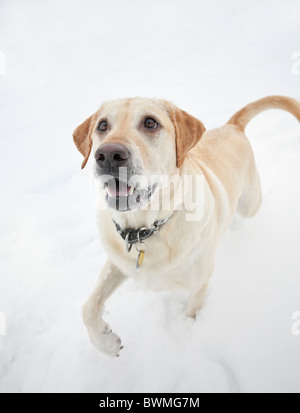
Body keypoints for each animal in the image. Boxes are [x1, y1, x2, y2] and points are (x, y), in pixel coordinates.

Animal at [72, 95, 300, 356]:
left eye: (150, 123)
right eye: (102, 125)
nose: (108, 155)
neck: (147, 228)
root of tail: (231, 126)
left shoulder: (200, 283)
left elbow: (192, 312)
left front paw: (189, 333)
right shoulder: (118, 263)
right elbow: (88, 307)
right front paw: (107, 344)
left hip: (250, 204)